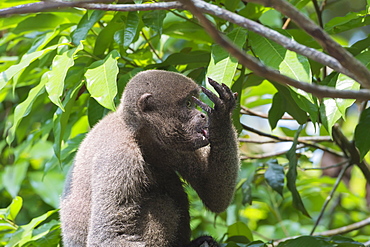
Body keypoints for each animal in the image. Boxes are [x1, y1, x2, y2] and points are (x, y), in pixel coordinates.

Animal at [60, 70, 240, 247]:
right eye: (188, 104)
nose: (202, 115)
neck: (137, 132)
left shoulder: (172, 144)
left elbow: (215, 195)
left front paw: (221, 116)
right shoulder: (118, 156)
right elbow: (107, 237)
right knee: (161, 202)